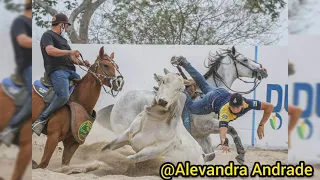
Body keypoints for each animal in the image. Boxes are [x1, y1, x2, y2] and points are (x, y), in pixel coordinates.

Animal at [97, 46, 268, 165]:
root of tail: (116, 103)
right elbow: (231, 130)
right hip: (122, 129)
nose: (263, 70)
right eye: (244, 60)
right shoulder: (206, 125)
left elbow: (210, 154)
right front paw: (241, 154)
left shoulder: (202, 136)